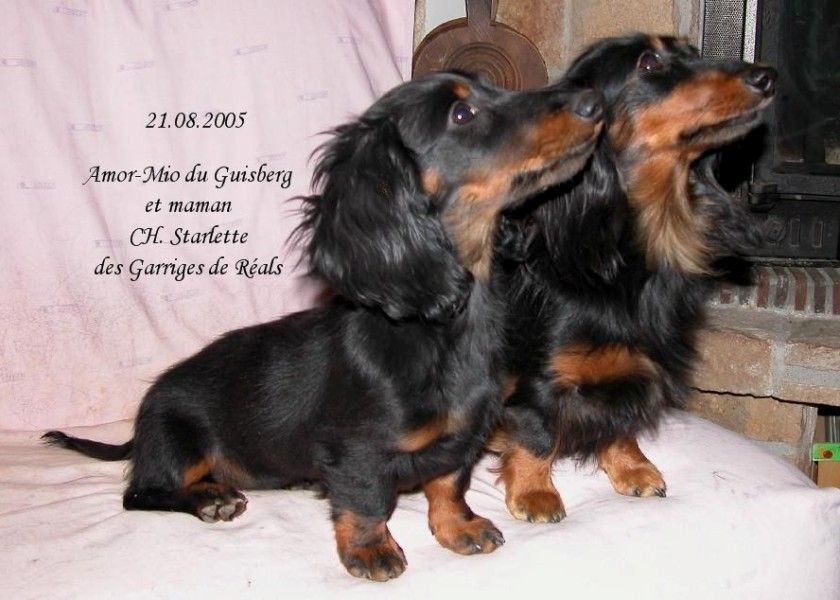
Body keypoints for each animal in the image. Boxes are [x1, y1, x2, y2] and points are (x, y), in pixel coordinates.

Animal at [43, 72, 604, 580]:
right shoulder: (356, 450)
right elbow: (365, 501)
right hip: (179, 442)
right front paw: (370, 550)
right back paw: (210, 501)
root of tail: (141, 425)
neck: (438, 327)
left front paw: (458, 527)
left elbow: (447, 483)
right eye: (462, 114)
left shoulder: (460, 436)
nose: (594, 100)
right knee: (141, 493)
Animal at [492, 34, 776, 523]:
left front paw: (630, 467)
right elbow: (537, 429)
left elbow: (619, 420)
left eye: (694, 53)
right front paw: (534, 492)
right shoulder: (540, 375)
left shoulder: (633, 368)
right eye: (649, 63)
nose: (767, 76)